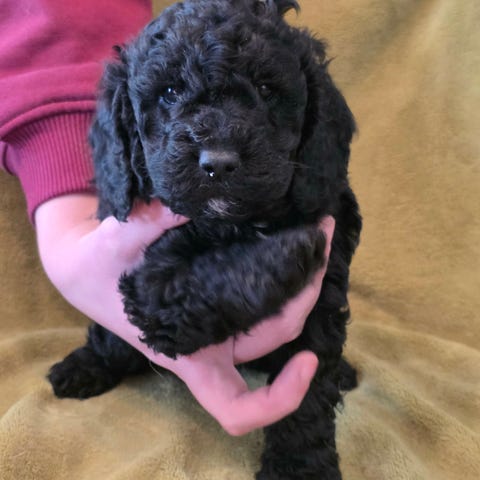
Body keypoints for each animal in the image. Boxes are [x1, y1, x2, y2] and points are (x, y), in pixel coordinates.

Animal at [48, 1, 362, 478]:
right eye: (169, 92)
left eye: (266, 89)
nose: (219, 162)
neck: (231, 222)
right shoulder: (148, 283)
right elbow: (205, 281)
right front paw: (290, 250)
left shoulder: (322, 298)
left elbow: (308, 393)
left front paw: (299, 466)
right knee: (112, 342)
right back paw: (83, 367)